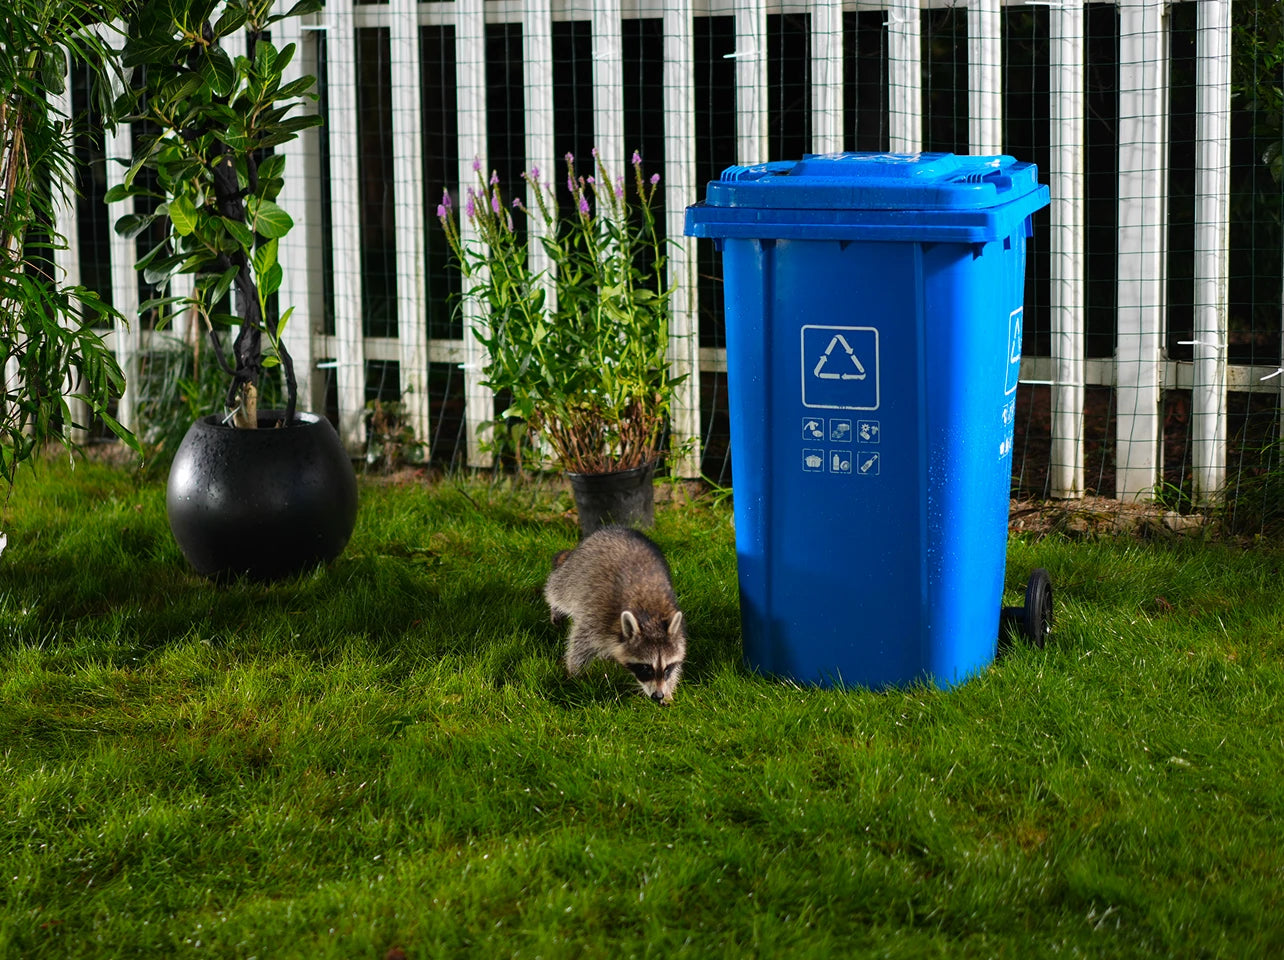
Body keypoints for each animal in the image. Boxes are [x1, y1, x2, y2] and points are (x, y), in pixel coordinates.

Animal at [543, 526, 686, 705]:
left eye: (667, 668)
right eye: (646, 668)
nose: (657, 695)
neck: (651, 616)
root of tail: (617, 528)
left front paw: (669, 689)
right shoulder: (598, 618)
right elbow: (580, 644)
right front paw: (575, 674)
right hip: (575, 572)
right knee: (557, 589)